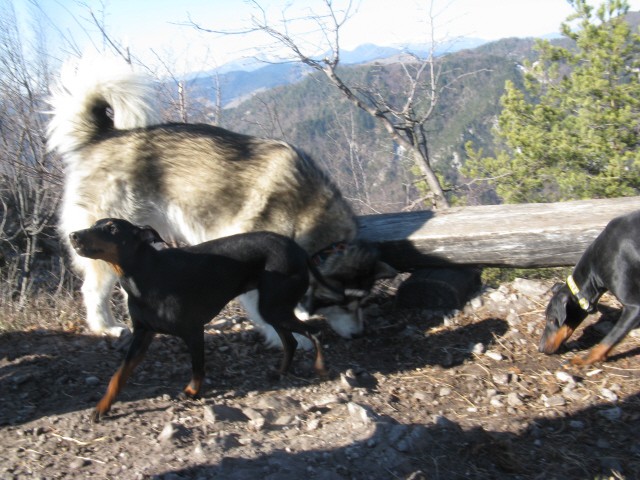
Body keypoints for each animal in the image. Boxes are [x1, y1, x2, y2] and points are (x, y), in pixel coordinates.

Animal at [47, 56, 396, 346]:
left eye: (363, 302)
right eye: (343, 303)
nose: (360, 334)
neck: (306, 217)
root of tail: (103, 136)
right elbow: (267, 312)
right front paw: (291, 337)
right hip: (104, 239)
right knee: (93, 289)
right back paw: (105, 326)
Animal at [69, 218, 330, 420]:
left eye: (112, 228)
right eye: (94, 224)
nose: (73, 235)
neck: (145, 275)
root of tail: (301, 252)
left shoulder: (193, 331)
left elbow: (197, 368)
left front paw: (192, 392)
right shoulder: (142, 335)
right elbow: (118, 375)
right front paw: (103, 407)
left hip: (274, 307)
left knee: (314, 333)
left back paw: (319, 367)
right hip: (273, 308)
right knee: (291, 341)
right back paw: (280, 372)